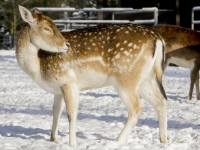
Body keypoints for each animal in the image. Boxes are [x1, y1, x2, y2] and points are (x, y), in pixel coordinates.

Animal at [16, 5, 167, 146]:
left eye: (53, 25)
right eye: (47, 28)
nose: (67, 44)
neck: (38, 68)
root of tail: (157, 39)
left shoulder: (69, 82)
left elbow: (71, 114)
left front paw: (72, 144)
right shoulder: (57, 89)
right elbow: (56, 111)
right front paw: (53, 139)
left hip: (126, 78)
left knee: (136, 108)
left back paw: (118, 141)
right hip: (145, 79)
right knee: (161, 101)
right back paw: (163, 140)